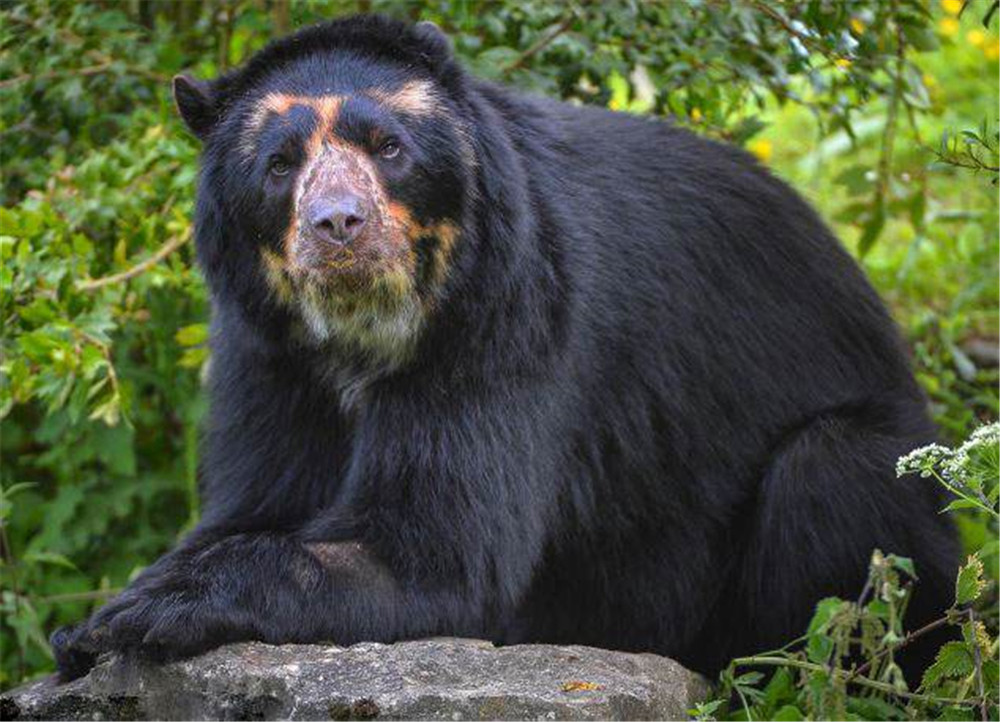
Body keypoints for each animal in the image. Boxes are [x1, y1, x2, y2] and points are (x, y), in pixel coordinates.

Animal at [50, 14, 956, 684]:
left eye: (389, 148)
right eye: (279, 165)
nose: (339, 225)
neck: (363, 332)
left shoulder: (509, 315)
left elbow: (439, 557)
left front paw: (150, 608)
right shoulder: (267, 352)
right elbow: (256, 495)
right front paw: (87, 623)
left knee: (833, 476)